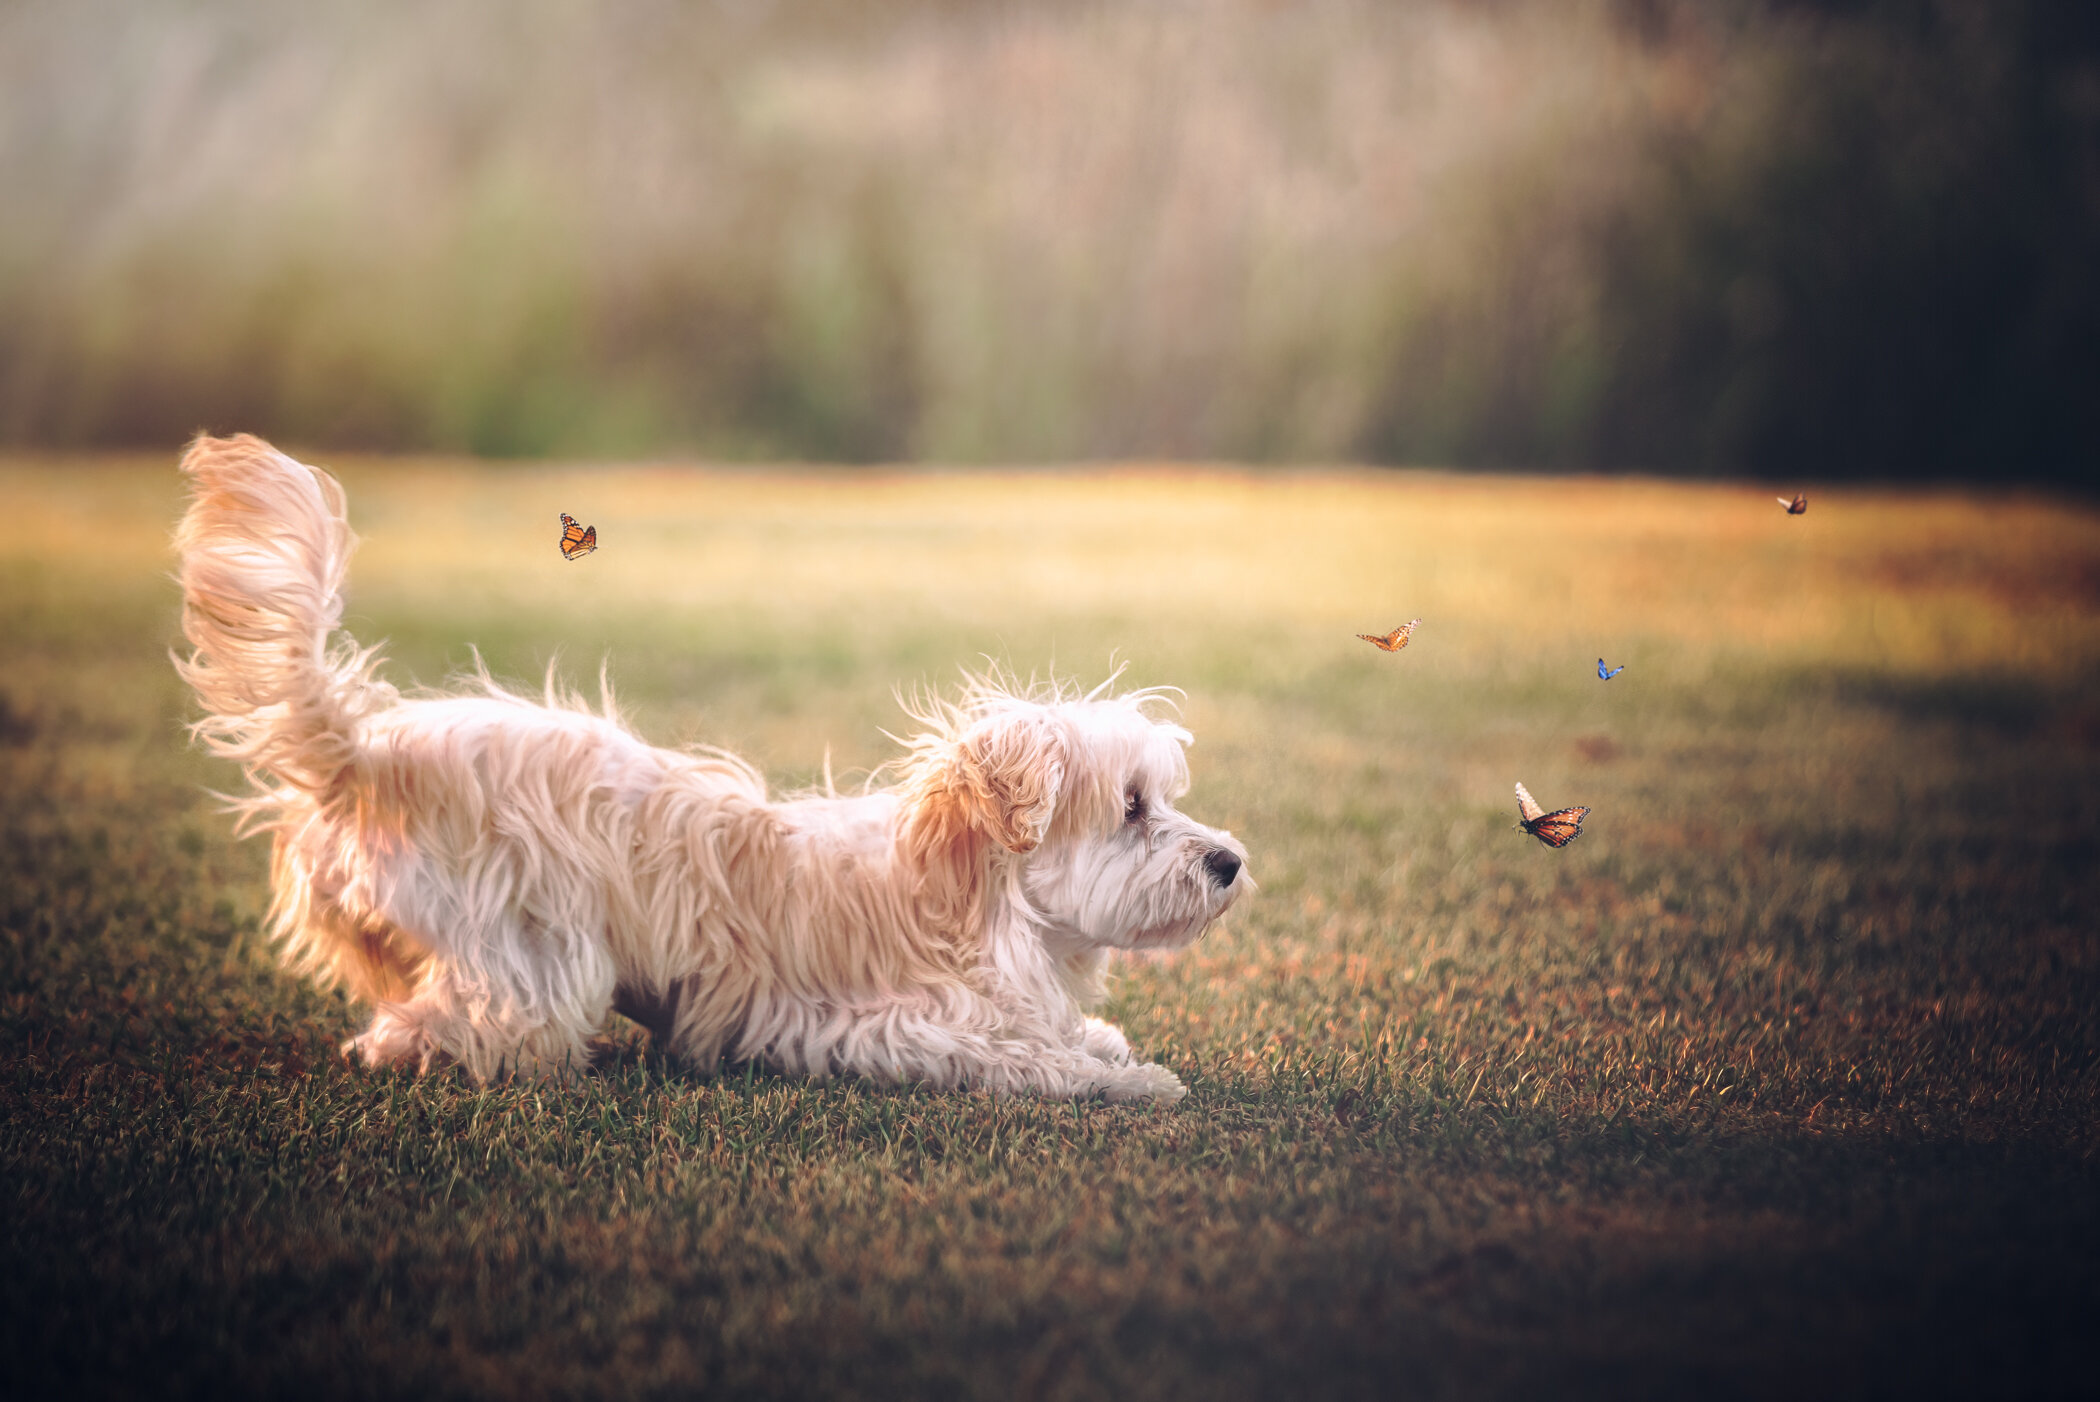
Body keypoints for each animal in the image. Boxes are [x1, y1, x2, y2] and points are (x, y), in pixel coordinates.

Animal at [176, 432, 1243, 1099]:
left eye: (1164, 800)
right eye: (1132, 808)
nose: (1229, 861)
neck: (989, 900)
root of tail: (363, 751)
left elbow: (1059, 1036)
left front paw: (1100, 1042)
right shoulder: (894, 1026)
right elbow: (1031, 1063)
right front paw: (1128, 1078)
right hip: (531, 950)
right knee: (468, 1026)